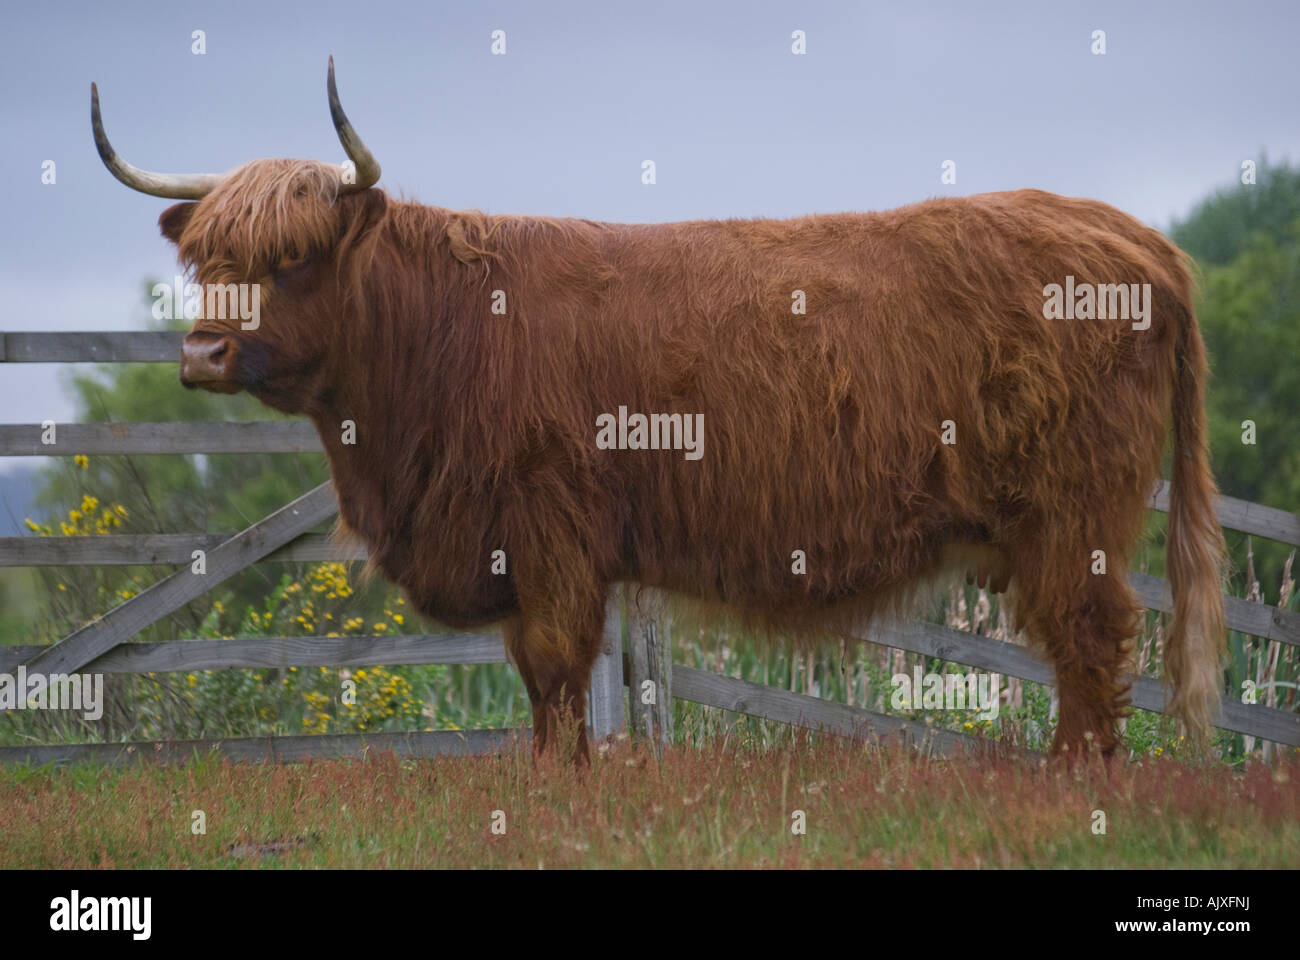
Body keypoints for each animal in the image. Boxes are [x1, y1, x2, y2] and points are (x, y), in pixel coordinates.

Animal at [94, 61, 1227, 764]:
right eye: (207, 261)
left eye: (292, 258)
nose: (201, 352)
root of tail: (1137, 240)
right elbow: (536, 683)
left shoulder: (551, 532)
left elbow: (556, 674)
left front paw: (556, 794)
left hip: (1072, 516)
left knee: (1091, 644)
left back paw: (1073, 787)